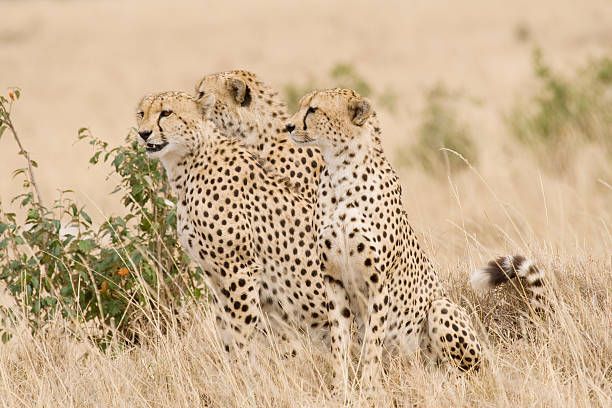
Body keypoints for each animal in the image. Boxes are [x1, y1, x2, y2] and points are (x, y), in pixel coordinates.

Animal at [134, 91, 330, 354]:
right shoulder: (214, 275)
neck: (190, 163)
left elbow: (240, 331)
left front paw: (242, 364)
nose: (143, 133)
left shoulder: (239, 270)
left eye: (166, 113)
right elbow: (224, 328)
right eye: (141, 113)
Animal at [286, 88, 482, 388]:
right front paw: (340, 387)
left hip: (441, 309)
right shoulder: (334, 280)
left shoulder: (378, 282)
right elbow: (339, 340)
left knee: (466, 370)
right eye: (300, 106)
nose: (288, 126)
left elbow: (373, 340)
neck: (340, 172)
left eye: (313, 110)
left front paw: (368, 387)